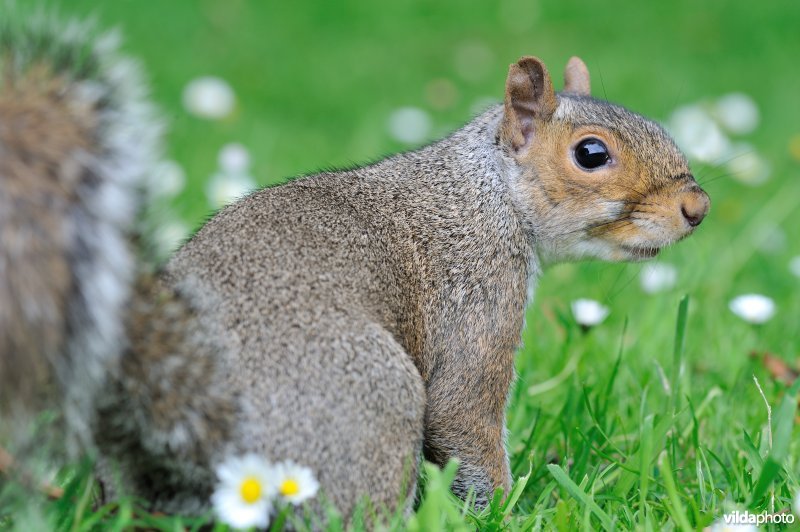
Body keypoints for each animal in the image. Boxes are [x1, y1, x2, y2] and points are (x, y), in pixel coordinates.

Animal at [3, 12, 708, 524]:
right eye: (591, 154)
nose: (696, 208)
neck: (486, 191)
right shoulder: (478, 292)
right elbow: (463, 415)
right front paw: (504, 513)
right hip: (377, 408)